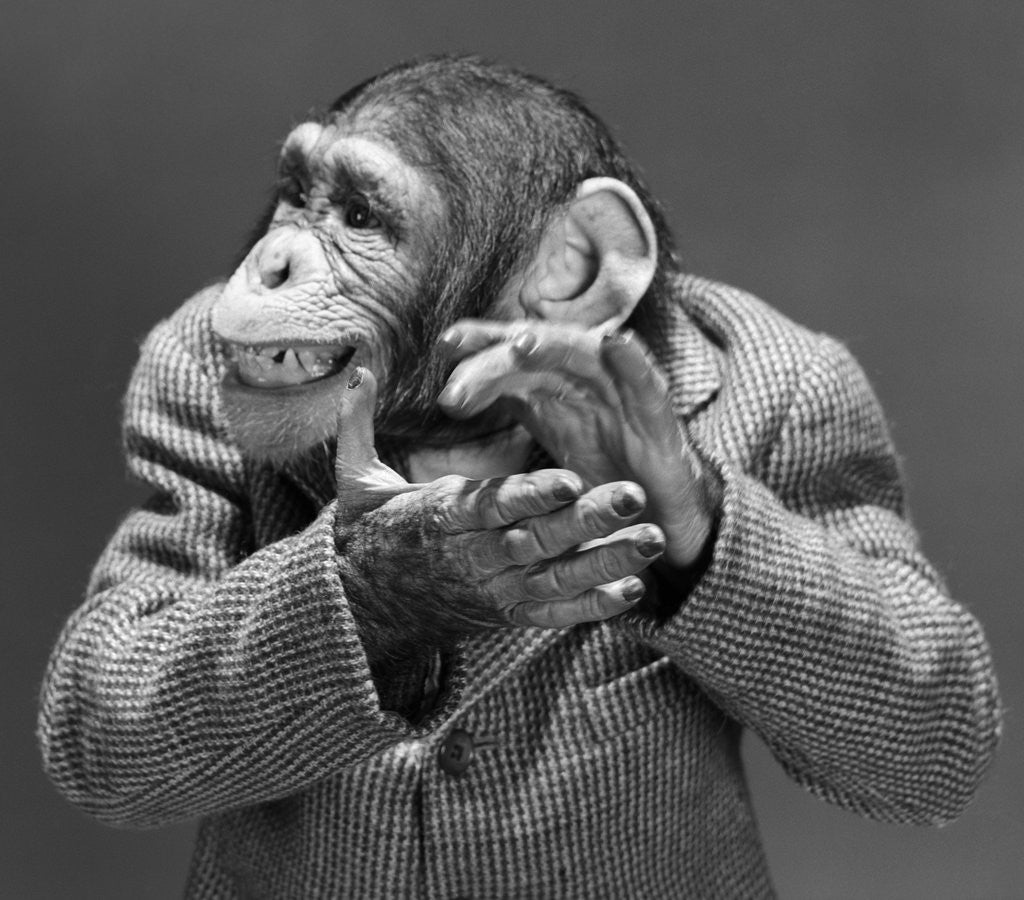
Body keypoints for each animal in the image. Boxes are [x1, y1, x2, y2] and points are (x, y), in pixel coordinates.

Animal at [39, 56, 1000, 899]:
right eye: (297, 194)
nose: (275, 259)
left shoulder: (829, 396)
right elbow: (113, 674)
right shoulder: (171, 385)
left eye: (357, 214)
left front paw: (627, 441)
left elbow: (931, 694)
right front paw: (417, 561)